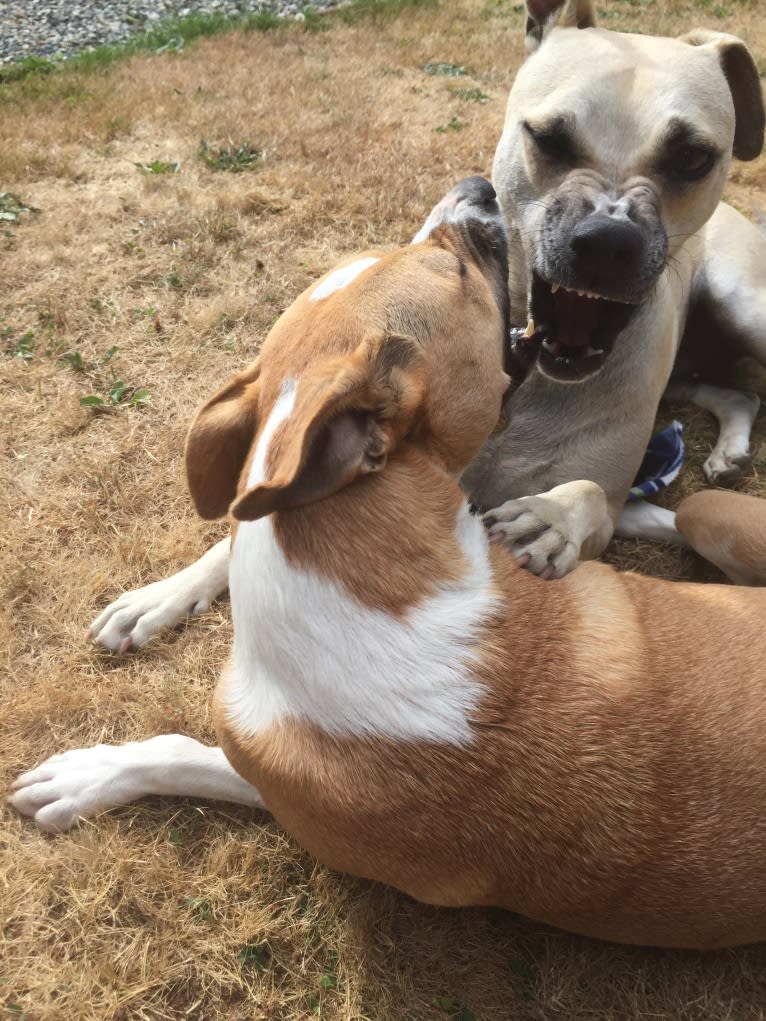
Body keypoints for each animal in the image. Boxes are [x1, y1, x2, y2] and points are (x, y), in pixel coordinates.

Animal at [467, 0, 766, 575]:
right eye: (548, 138)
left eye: (693, 157)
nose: (607, 242)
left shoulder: (609, 508)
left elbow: (585, 493)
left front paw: (551, 518)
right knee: (733, 392)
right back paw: (729, 450)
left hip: (745, 308)